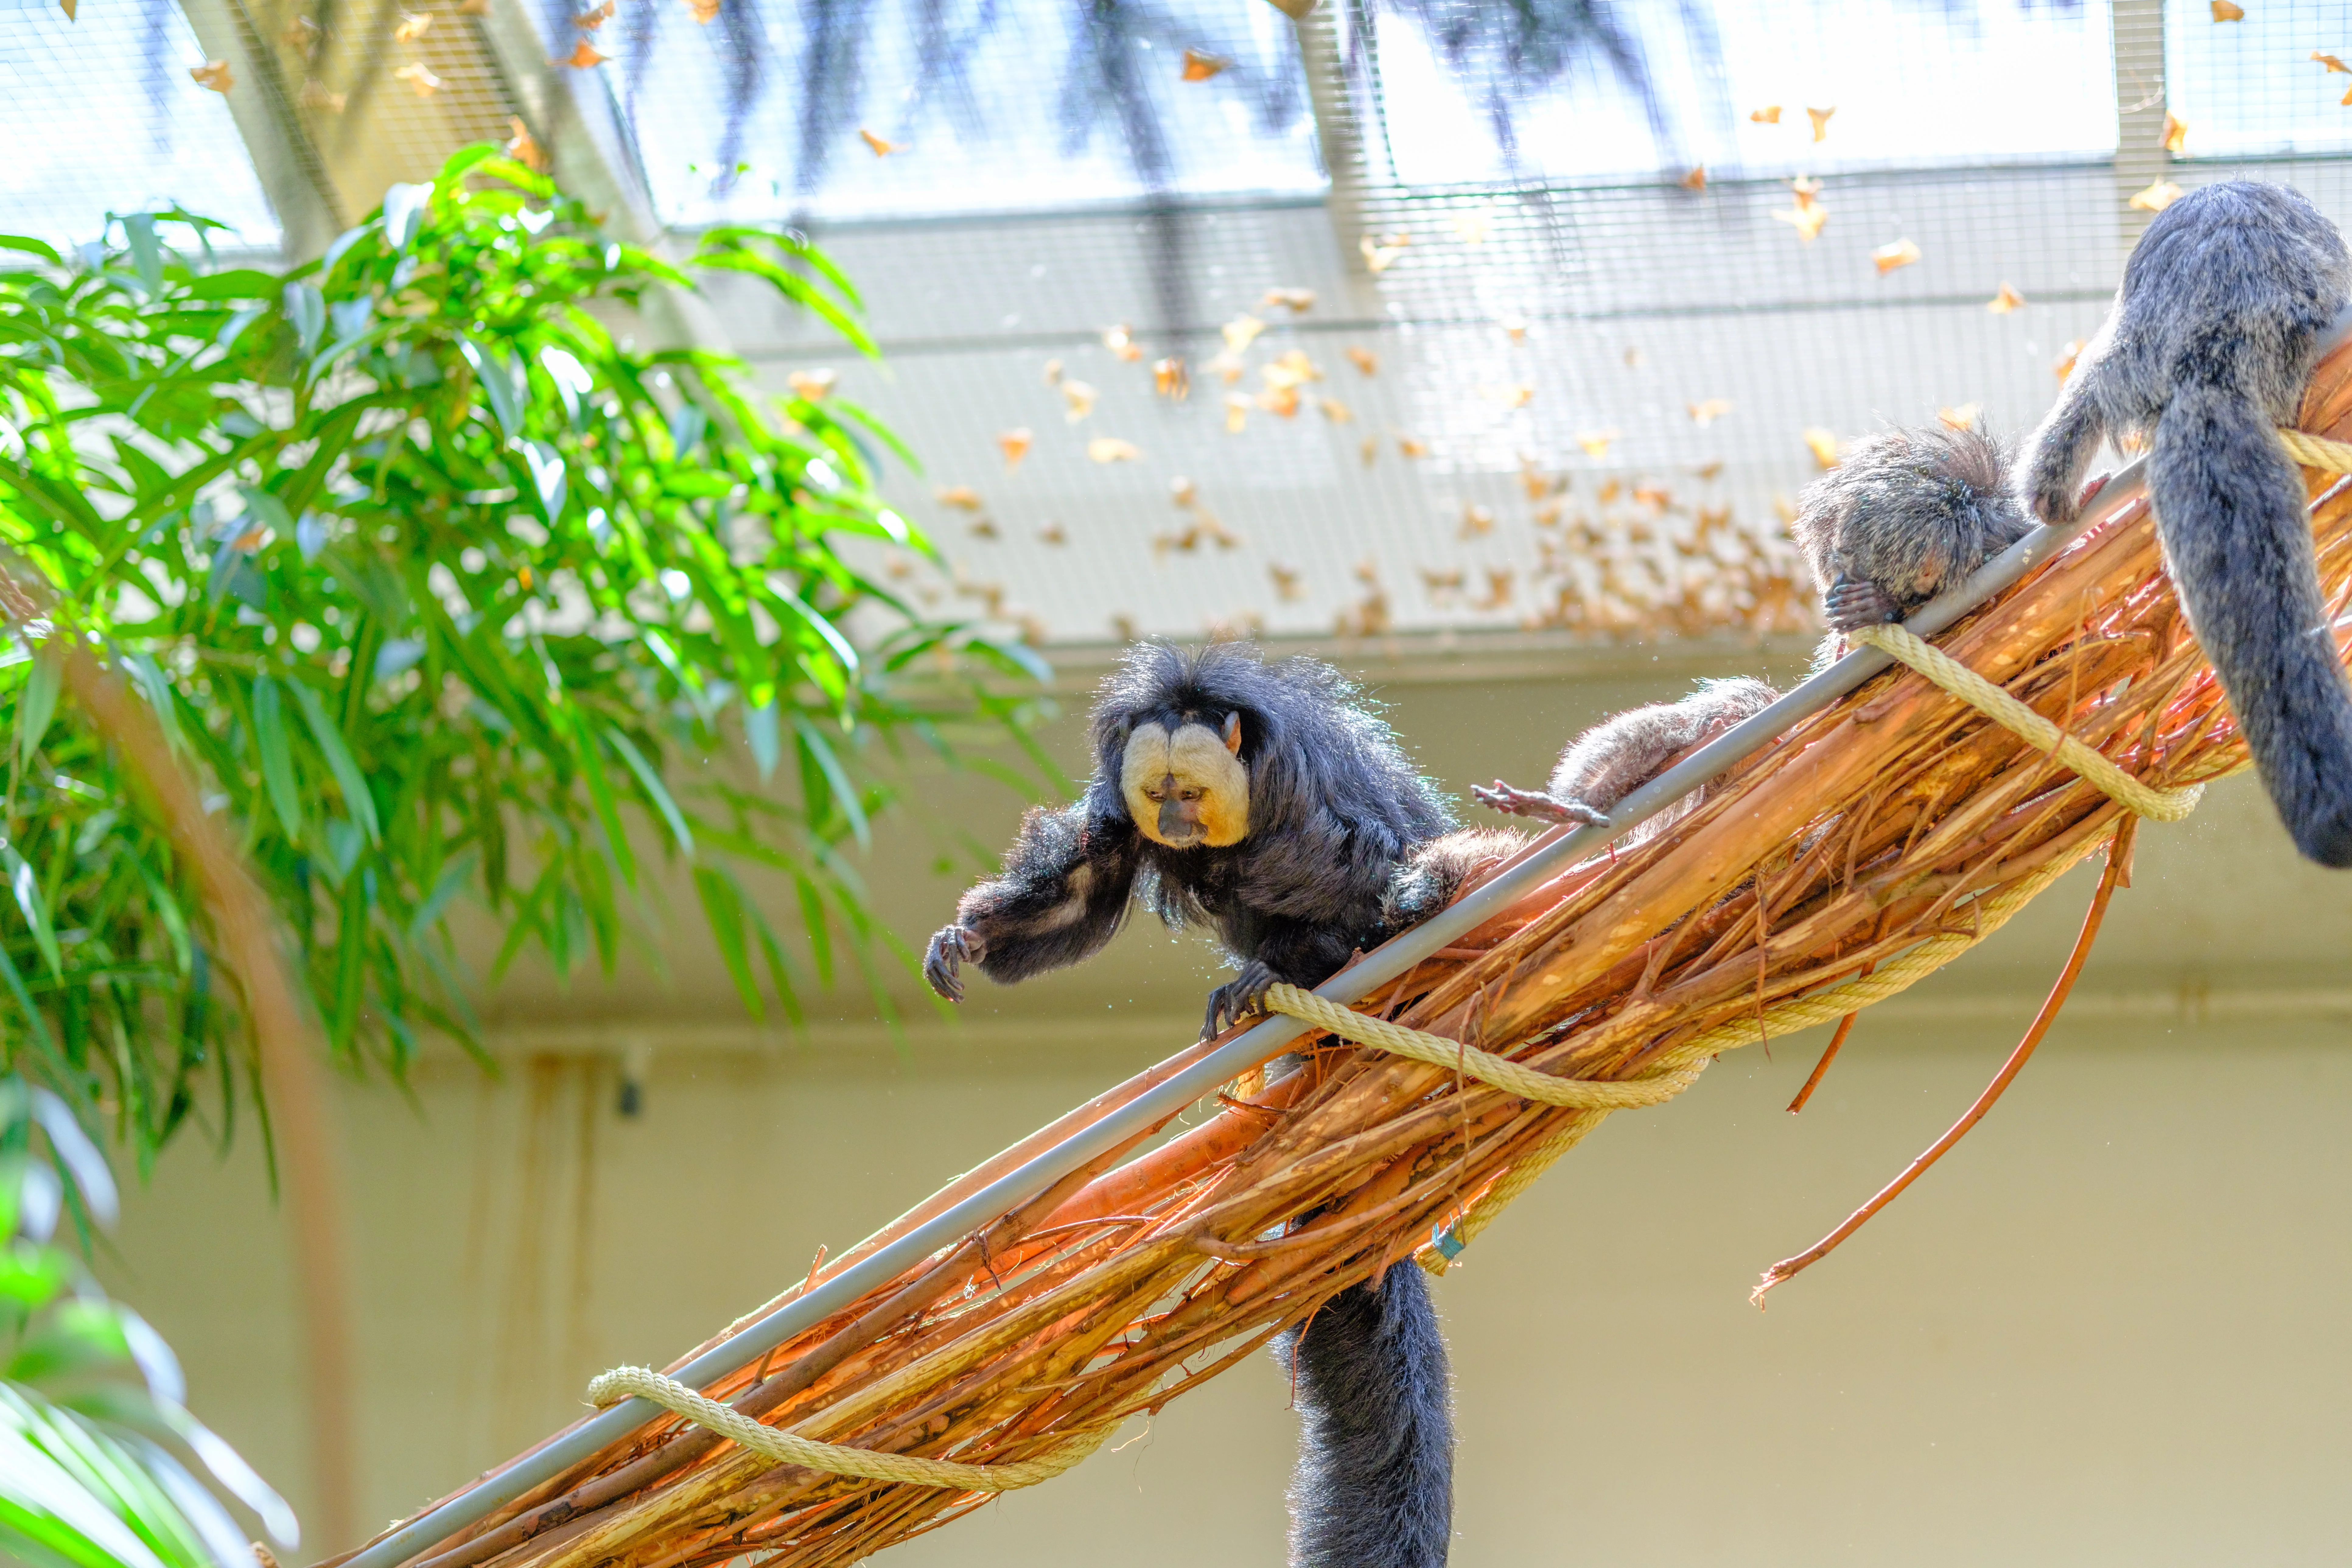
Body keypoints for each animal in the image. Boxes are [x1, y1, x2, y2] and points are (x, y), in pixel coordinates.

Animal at [925, 641, 1504, 1568]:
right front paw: (971, 939)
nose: (1174, 818)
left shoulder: (1309, 802)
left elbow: (1379, 884)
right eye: (1157, 791)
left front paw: (1275, 971)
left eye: (1191, 791)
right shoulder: (1117, 815)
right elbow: (1084, 887)